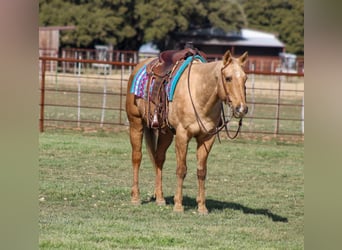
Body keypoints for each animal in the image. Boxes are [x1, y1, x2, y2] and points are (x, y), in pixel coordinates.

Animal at [125, 49, 248, 214]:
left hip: (166, 133)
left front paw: (202, 207)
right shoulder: (183, 135)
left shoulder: (207, 138)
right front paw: (178, 206)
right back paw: (135, 198)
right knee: (137, 157)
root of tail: (140, 65)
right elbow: (181, 169)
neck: (199, 94)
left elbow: (201, 171)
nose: (241, 109)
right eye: (228, 78)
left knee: (159, 159)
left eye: (245, 78)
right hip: (136, 123)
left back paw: (160, 198)